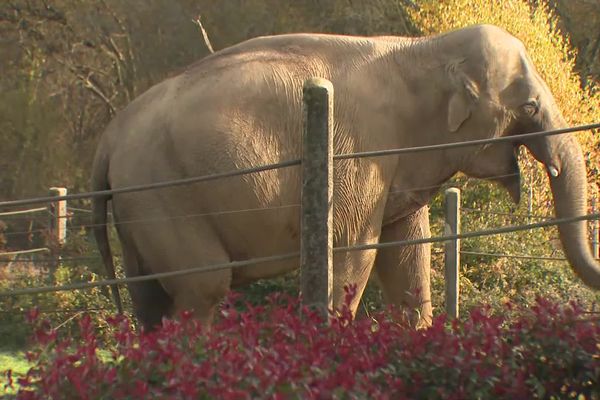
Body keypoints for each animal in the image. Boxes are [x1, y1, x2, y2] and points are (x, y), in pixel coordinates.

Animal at [91, 25, 596, 332]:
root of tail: (108, 139)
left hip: (138, 209)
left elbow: (408, 252)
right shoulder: (357, 158)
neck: (424, 48)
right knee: (205, 285)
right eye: (529, 106)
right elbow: (355, 250)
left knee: (149, 300)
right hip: (163, 196)